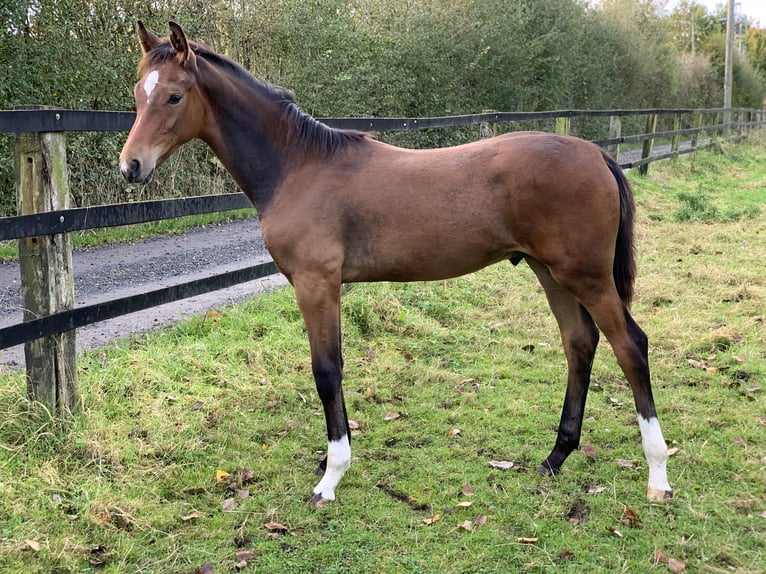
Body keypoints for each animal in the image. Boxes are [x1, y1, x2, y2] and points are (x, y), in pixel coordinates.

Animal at [118, 22, 672, 506]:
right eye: (138, 93)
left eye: (174, 96)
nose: (131, 167)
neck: (298, 165)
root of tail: (597, 155)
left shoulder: (317, 284)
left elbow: (327, 370)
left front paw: (330, 477)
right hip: (550, 272)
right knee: (579, 344)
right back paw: (555, 457)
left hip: (587, 276)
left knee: (631, 346)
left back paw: (657, 475)